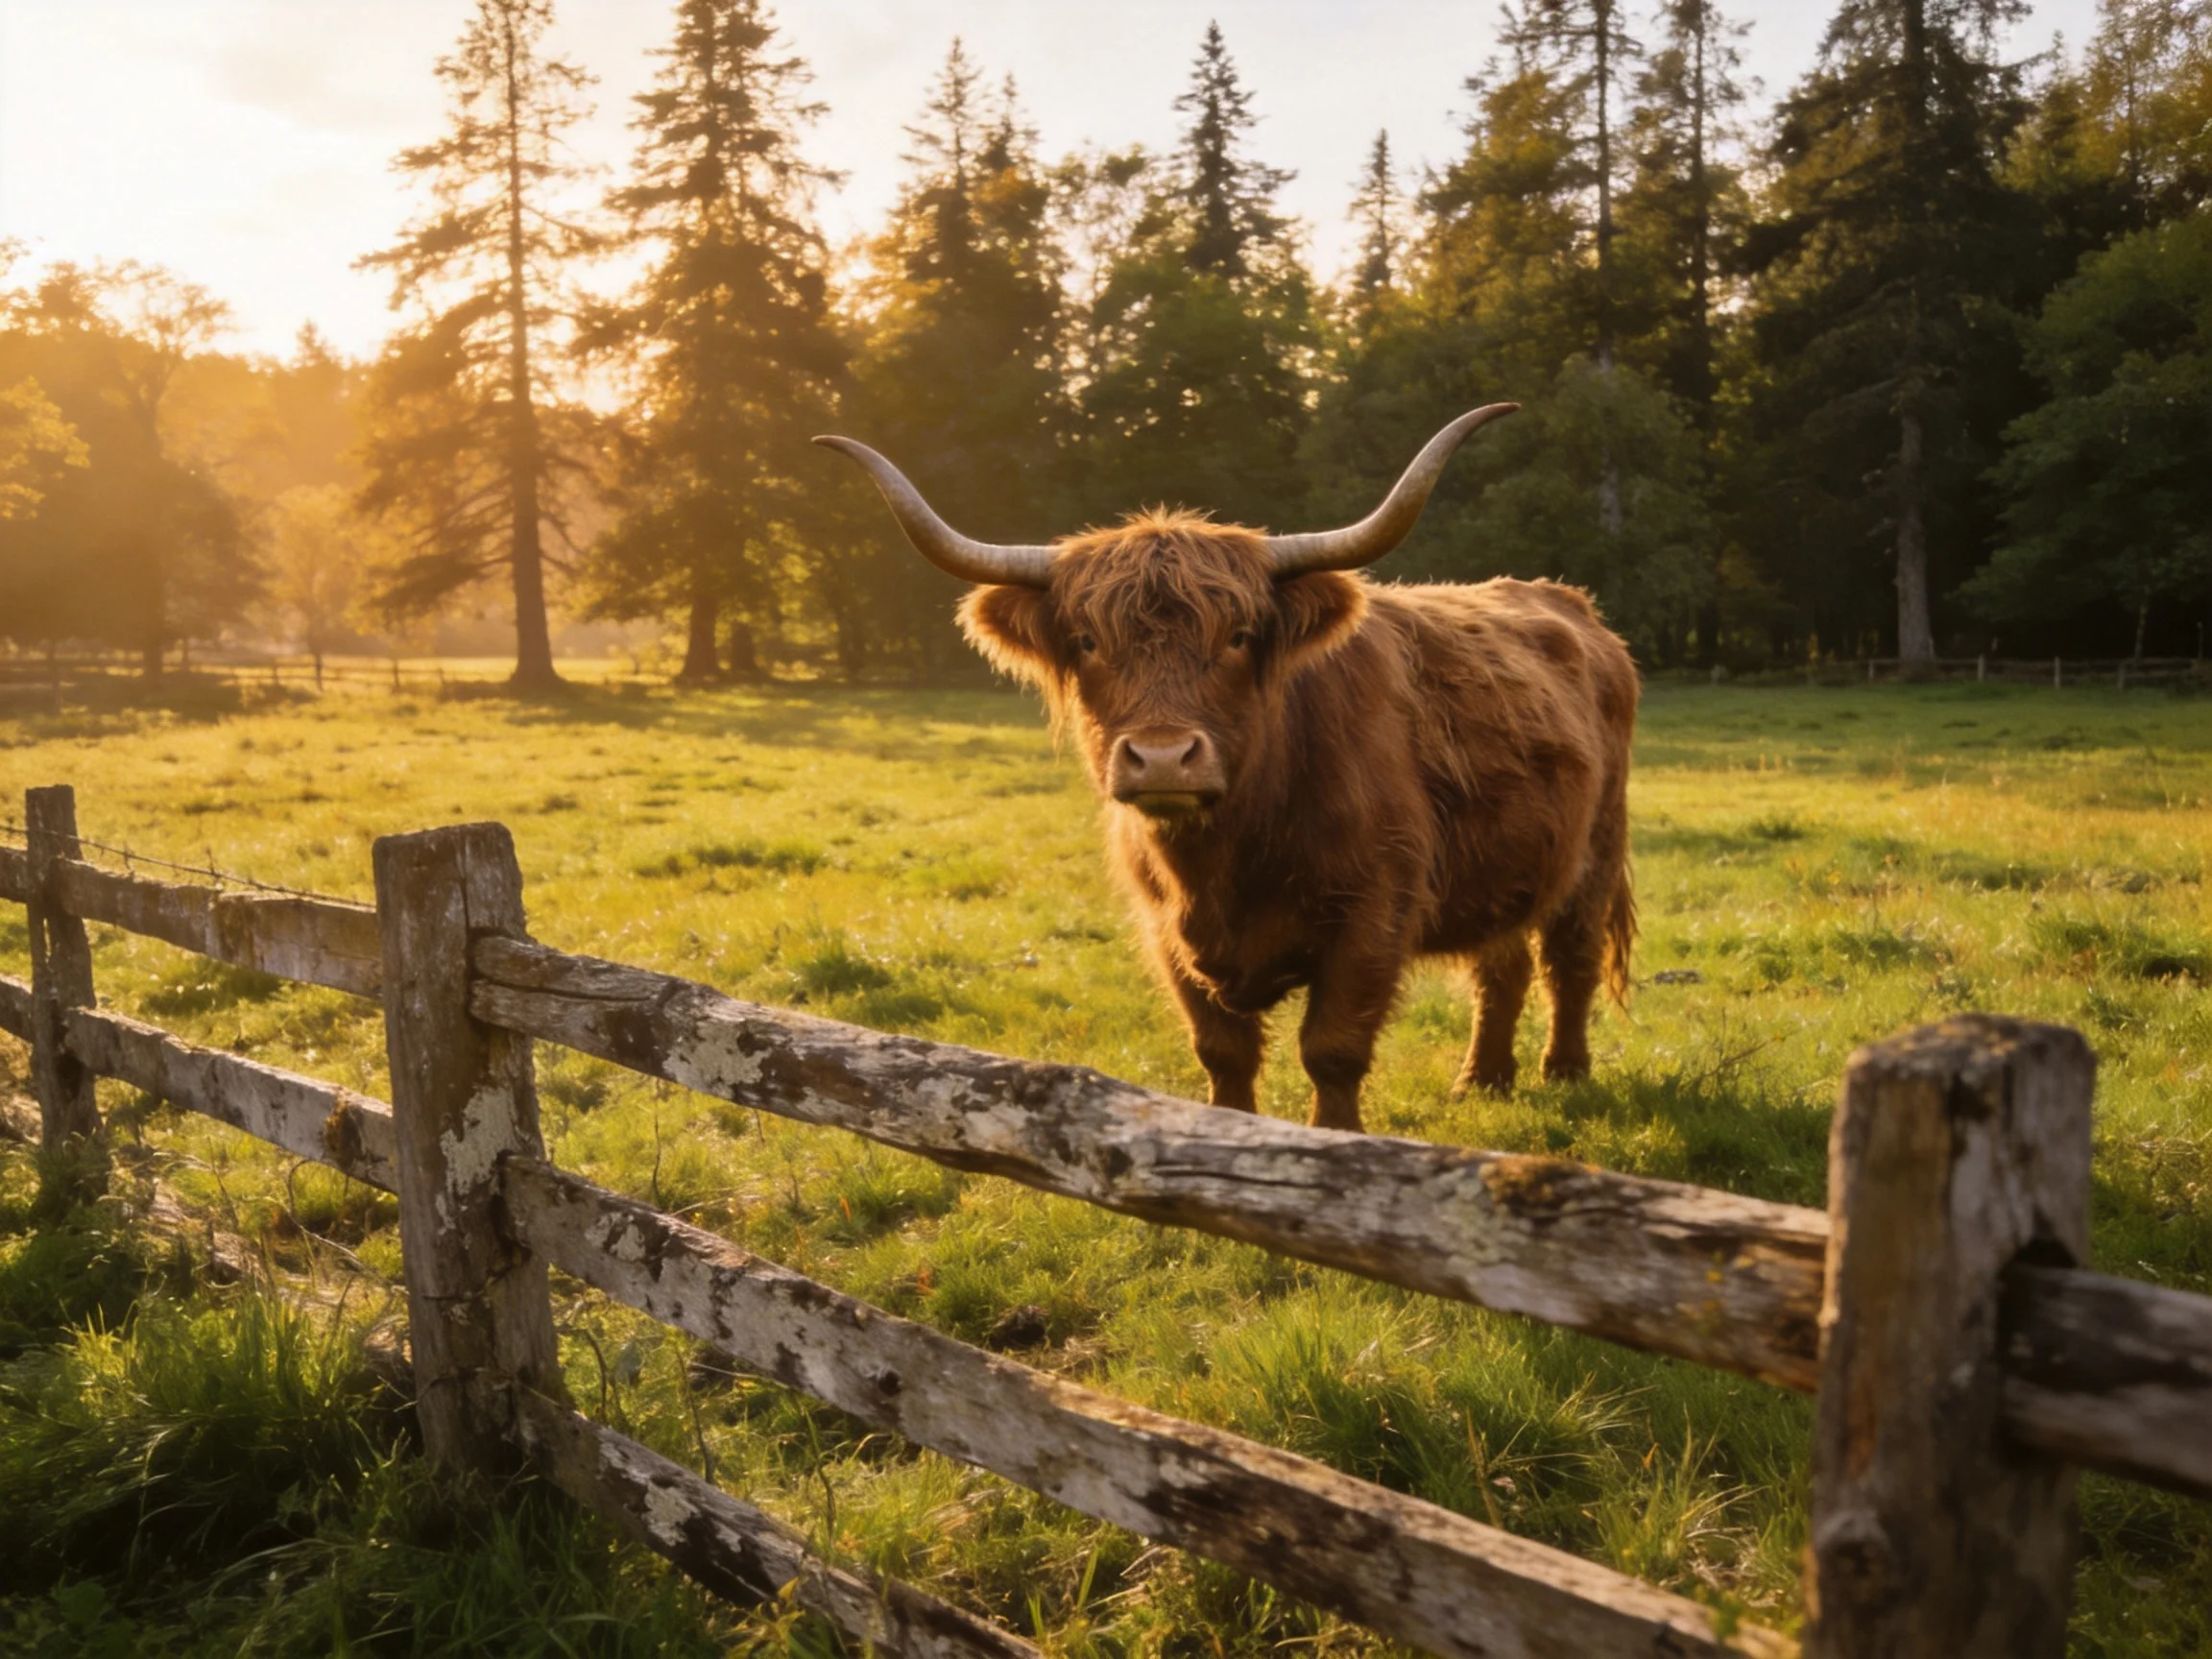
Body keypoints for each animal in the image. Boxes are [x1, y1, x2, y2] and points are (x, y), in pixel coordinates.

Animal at [818, 406, 1638, 1134]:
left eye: (1239, 636)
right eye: (1087, 641)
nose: (1161, 757)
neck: (1225, 859)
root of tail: (1569, 603)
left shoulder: (1374, 914)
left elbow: (1332, 1050)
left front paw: (1336, 1147)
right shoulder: (1164, 929)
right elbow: (1222, 1052)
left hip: (1595, 849)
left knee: (1568, 960)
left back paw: (1564, 1072)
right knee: (1501, 966)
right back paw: (1482, 1081)